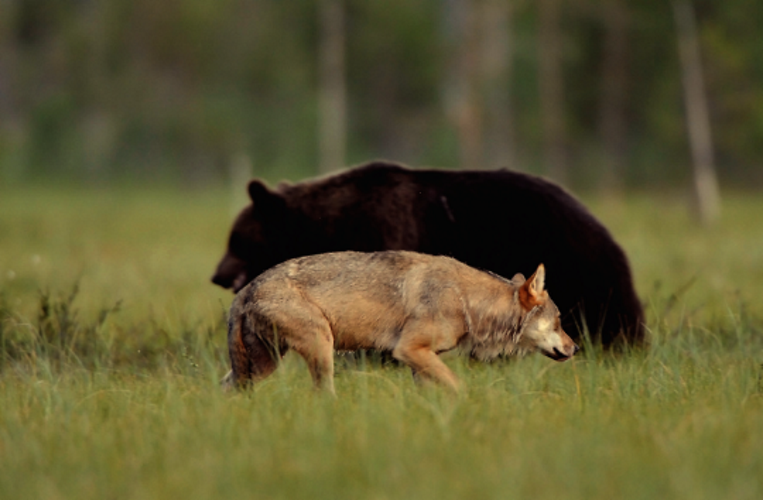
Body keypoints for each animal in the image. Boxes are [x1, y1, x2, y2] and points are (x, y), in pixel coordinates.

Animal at [222, 250, 580, 394]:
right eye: (559, 321)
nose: (576, 348)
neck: (465, 300)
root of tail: (247, 288)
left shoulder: (419, 361)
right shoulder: (409, 350)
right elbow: (459, 386)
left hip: (261, 367)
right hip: (321, 349)